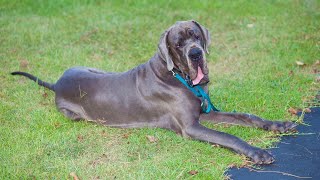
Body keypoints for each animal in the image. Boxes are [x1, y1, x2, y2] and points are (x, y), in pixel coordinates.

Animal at [11, 20, 296, 165]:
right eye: (178, 44)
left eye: (196, 36)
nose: (196, 54)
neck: (178, 75)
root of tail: (57, 82)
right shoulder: (191, 127)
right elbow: (229, 136)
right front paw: (257, 153)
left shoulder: (205, 113)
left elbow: (246, 117)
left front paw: (278, 124)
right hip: (73, 114)